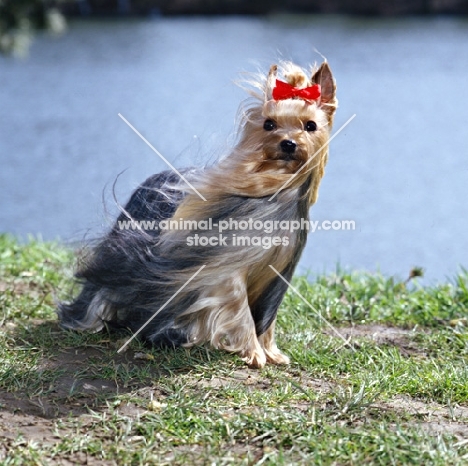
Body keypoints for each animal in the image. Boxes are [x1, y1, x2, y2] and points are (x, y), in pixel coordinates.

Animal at [59, 61, 336, 368]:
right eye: (269, 124)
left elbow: (267, 320)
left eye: (310, 126)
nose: (288, 144)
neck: (275, 191)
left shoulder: (277, 276)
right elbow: (241, 310)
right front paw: (253, 353)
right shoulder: (225, 270)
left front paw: (272, 352)